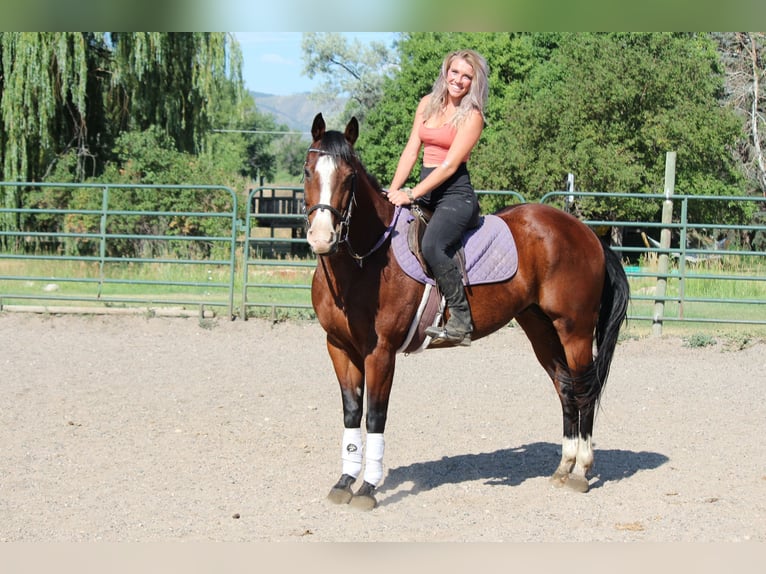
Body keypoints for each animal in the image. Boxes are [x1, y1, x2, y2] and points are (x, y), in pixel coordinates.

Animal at [303, 113, 629, 510]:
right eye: (307, 171)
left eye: (349, 177)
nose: (322, 237)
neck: (365, 263)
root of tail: (586, 232)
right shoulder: (338, 347)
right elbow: (352, 412)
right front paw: (345, 480)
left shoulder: (380, 352)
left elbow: (375, 415)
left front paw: (367, 487)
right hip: (540, 328)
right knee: (566, 388)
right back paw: (564, 467)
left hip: (575, 330)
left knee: (584, 391)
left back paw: (582, 471)